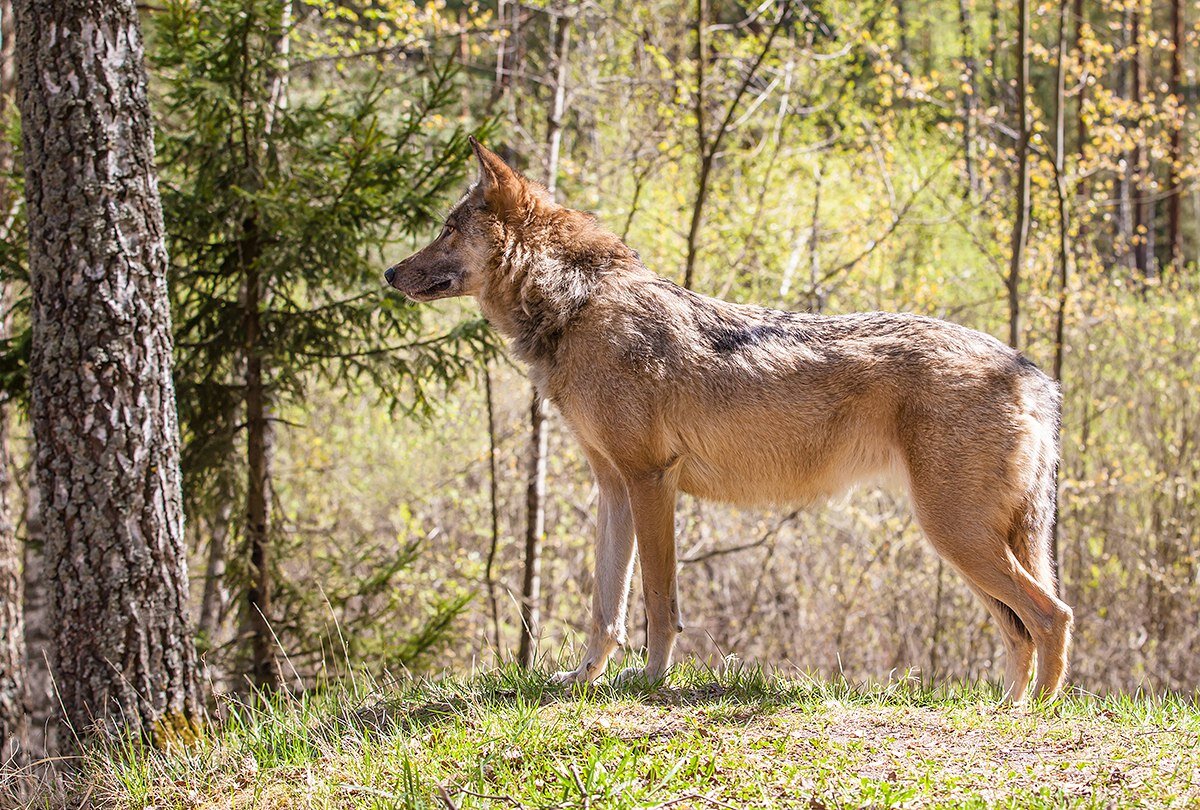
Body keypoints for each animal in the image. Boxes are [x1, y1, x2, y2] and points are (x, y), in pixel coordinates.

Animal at [388, 139, 1075, 705]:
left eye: (447, 228)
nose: (389, 272)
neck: (576, 304)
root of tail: (1033, 374)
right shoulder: (612, 487)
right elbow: (604, 609)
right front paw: (582, 680)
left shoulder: (651, 481)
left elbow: (658, 604)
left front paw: (648, 683)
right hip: (967, 542)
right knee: (1021, 630)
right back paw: (1005, 710)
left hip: (956, 535)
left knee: (1052, 616)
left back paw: (1033, 718)